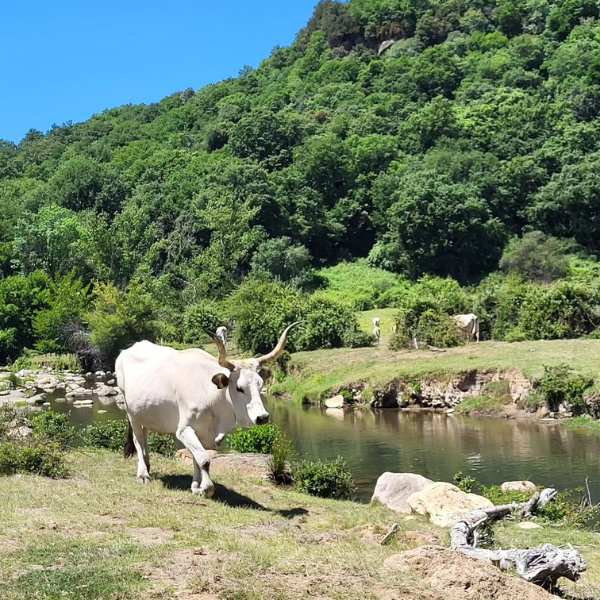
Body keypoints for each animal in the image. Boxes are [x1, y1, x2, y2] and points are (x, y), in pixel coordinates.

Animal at [116, 324, 296, 496]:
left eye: (260, 384)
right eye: (239, 388)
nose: (262, 417)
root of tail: (127, 351)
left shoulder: (204, 434)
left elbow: (197, 458)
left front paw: (196, 486)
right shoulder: (184, 430)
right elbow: (203, 459)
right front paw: (206, 488)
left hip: (144, 412)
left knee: (144, 436)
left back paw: (147, 465)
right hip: (131, 412)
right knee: (138, 441)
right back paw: (143, 474)